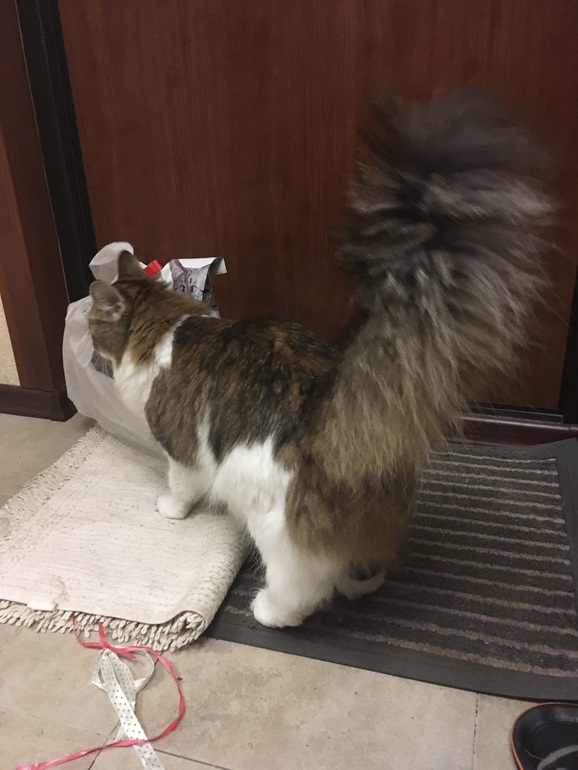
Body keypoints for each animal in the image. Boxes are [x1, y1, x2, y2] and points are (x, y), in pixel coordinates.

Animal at [88, 91, 550, 628]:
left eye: (93, 328)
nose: (90, 349)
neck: (166, 328)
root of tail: (336, 412)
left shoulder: (183, 447)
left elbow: (181, 486)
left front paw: (169, 509)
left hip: (266, 512)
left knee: (302, 584)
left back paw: (270, 611)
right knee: (361, 569)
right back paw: (356, 586)